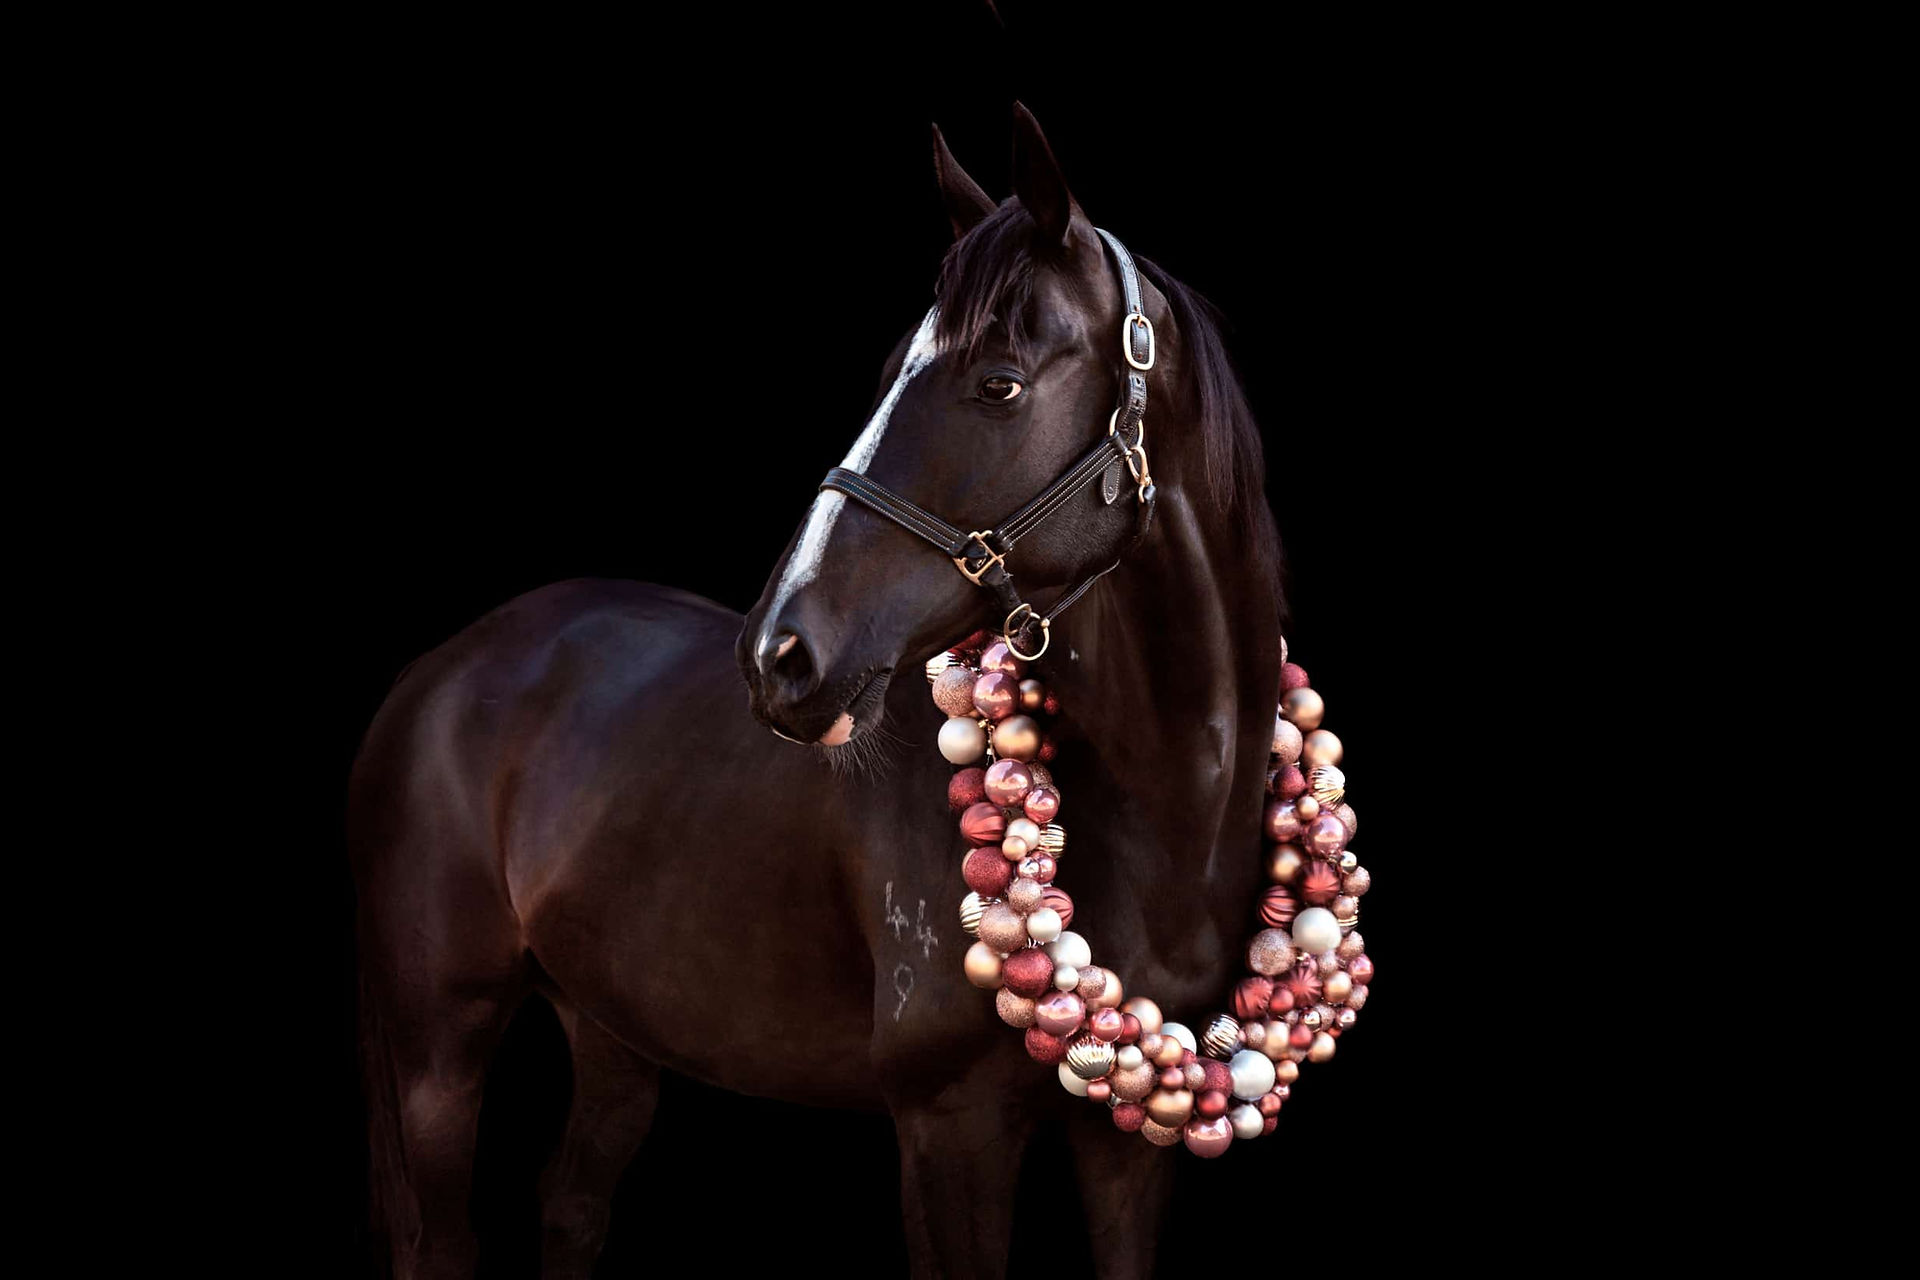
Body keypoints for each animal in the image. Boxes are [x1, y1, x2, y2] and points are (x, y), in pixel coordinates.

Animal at [349, 101, 1286, 1279]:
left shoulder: (1129, 1146)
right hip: (438, 1045)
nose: (779, 653)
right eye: (890, 370)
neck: (1154, 815)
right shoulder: (949, 1128)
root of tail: (440, 668)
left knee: (570, 1205)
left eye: (999, 383)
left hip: (611, 1024)